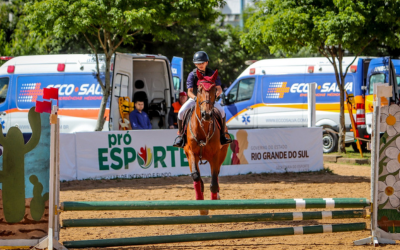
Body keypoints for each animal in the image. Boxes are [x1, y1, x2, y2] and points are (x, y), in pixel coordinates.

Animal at [184, 69, 230, 216]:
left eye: (215, 89)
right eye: (199, 89)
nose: (207, 114)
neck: (202, 127)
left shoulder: (215, 155)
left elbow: (214, 181)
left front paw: (214, 201)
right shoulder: (190, 153)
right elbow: (195, 176)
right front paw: (202, 206)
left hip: (220, 155)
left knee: (217, 173)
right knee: (197, 175)